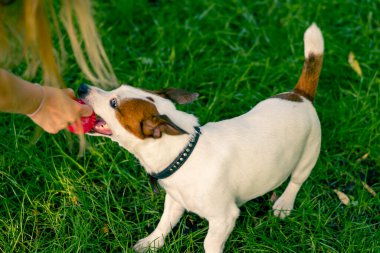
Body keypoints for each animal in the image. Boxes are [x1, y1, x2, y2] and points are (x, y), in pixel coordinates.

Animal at [79, 22, 324, 252]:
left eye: (113, 104)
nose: (82, 87)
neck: (183, 152)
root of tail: (300, 96)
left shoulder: (224, 218)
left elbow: (209, 244)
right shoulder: (175, 200)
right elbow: (164, 223)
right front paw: (152, 242)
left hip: (308, 155)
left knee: (296, 181)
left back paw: (284, 202)